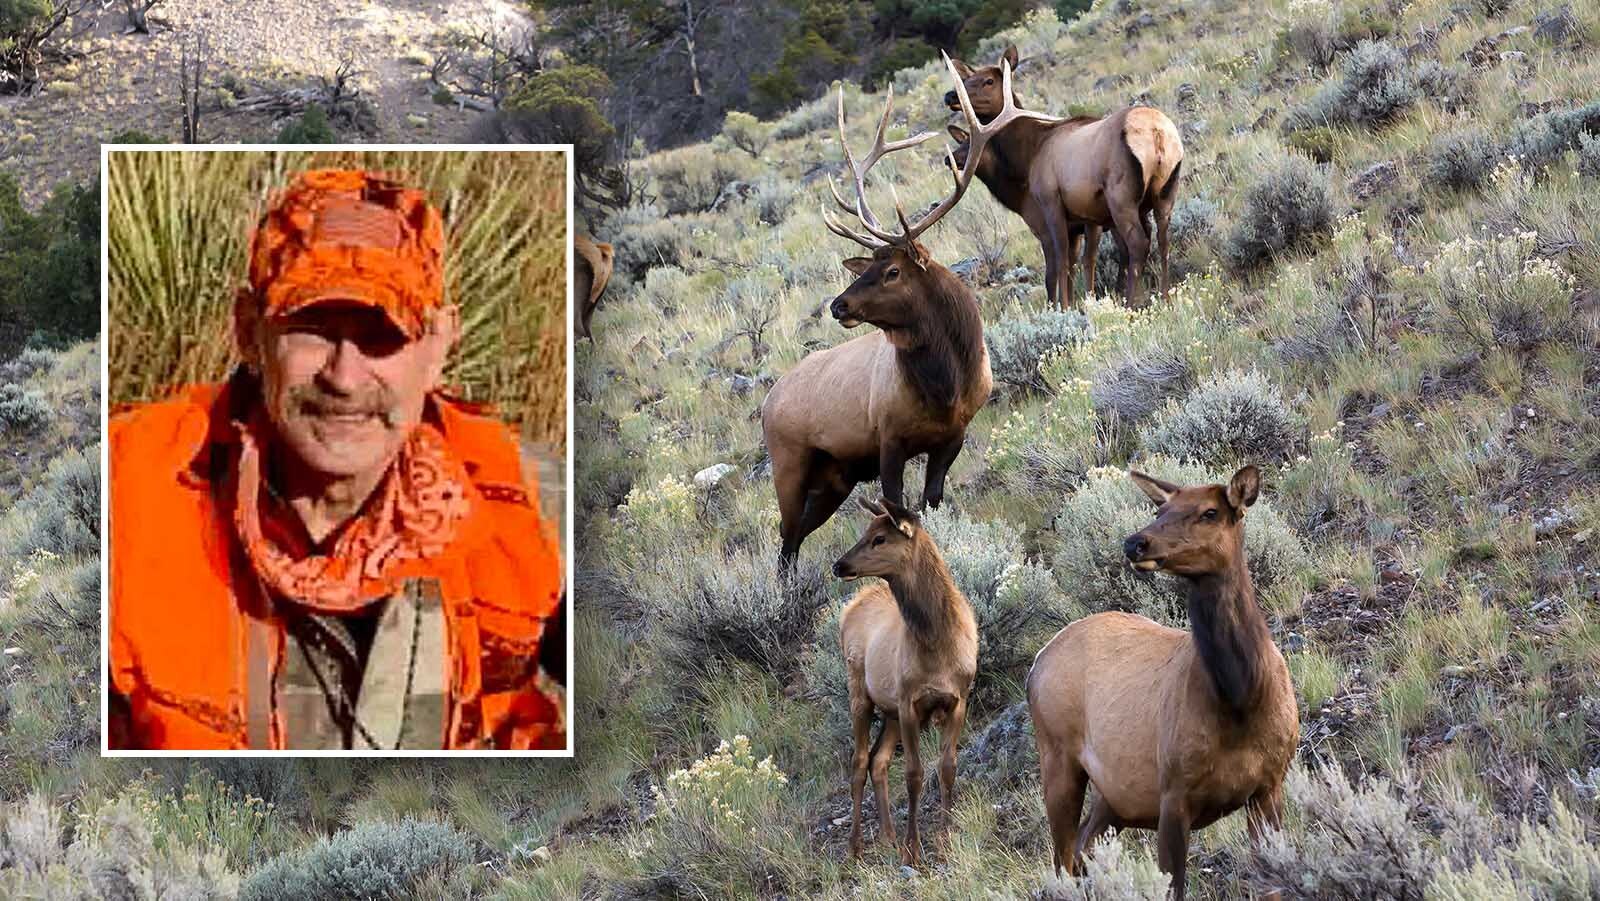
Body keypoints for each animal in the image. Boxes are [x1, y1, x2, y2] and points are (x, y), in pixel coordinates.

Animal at [759, 61, 1061, 568]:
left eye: (892, 271)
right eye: (869, 267)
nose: (838, 304)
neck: (945, 385)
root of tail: (766, 402)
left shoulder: (954, 435)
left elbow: (931, 501)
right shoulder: (888, 439)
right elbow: (895, 504)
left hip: (835, 475)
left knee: (795, 535)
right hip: (790, 460)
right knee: (786, 540)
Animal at [834, 497, 978, 867]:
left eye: (879, 538)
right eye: (865, 532)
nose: (838, 565)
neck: (937, 647)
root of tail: (851, 606)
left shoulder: (959, 699)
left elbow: (947, 767)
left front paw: (944, 840)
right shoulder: (910, 701)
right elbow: (914, 775)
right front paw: (914, 850)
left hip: (890, 713)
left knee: (879, 761)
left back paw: (889, 837)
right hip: (861, 691)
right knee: (859, 761)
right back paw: (855, 846)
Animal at [944, 46, 1184, 308]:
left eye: (988, 81)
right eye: (967, 79)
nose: (950, 96)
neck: (1028, 156)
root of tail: (1156, 132)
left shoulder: (1050, 206)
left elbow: (1058, 268)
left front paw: (1064, 307)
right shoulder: (1088, 218)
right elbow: (1082, 263)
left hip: (1121, 198)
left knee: (1138, 243)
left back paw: (1130, 303)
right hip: (1166, 191)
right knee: (1163, 239)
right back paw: (1165, 297)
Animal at [1026, 465, 1297, 900]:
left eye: (1209, 512)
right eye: (1161, 510)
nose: (1135, 542)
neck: (1241, 701)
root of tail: (1037, 660)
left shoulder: (1270, 786)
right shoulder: (1173, 792)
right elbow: (1174, 886)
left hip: (1114, 797)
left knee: (1083, 849)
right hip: (1057, 756)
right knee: (1063, 862)